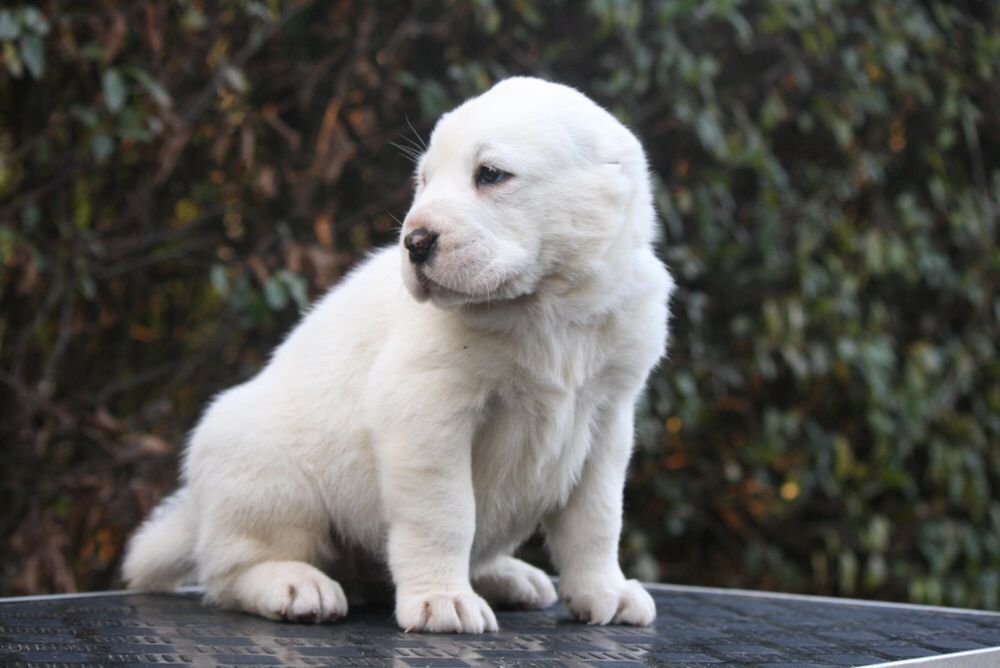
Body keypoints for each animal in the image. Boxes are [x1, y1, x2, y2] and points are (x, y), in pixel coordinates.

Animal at [123, 77, 672, 632]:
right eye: (423, 180)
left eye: (491, 174)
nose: (415, 241)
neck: (552, 309)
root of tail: (196, 507)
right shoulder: (427, 412)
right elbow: (446, 514)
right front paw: (442, 600)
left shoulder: (607, 419)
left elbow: (596, 519)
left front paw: (604, 591)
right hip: (267, 473)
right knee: (231, 570)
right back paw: (294, 584)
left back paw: (505, 576)